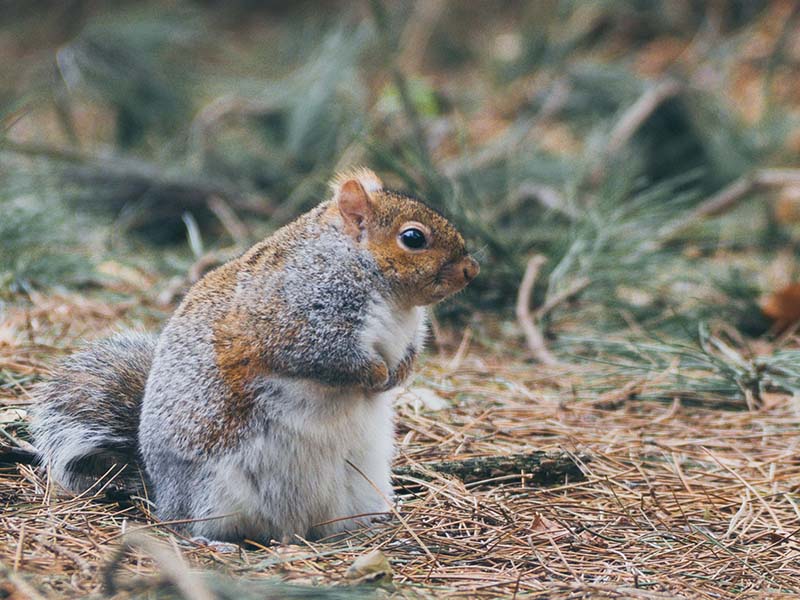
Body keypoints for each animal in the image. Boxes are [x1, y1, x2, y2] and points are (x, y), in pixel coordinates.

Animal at [31, 169, 478, 544]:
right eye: (414, 238)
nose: (471, 270)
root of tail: (159, 490)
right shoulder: (295, 320)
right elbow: (329, 357)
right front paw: (374, 374)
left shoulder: (408, 334)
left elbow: (408, 355)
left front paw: (396, 375)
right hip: (213, 491)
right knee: (193, 524)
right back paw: (212, 540)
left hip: (360, 486)